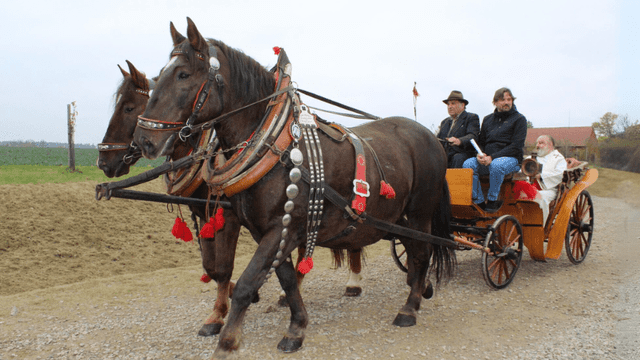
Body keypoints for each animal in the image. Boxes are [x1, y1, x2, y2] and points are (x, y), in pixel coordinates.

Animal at [134, 18, 456, 356]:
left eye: (183, 74)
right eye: (159, 74)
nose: (144, 140)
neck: (277, 149)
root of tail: (432, 136)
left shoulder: (283, 227)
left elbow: (247, 282)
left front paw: (228, 340)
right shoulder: (268, 230)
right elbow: (286, 278)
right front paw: (297, 327)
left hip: (420, 211)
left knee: (422, 252)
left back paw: (410, 307)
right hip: (395, 217)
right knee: (413, 248)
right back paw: (421, 288)